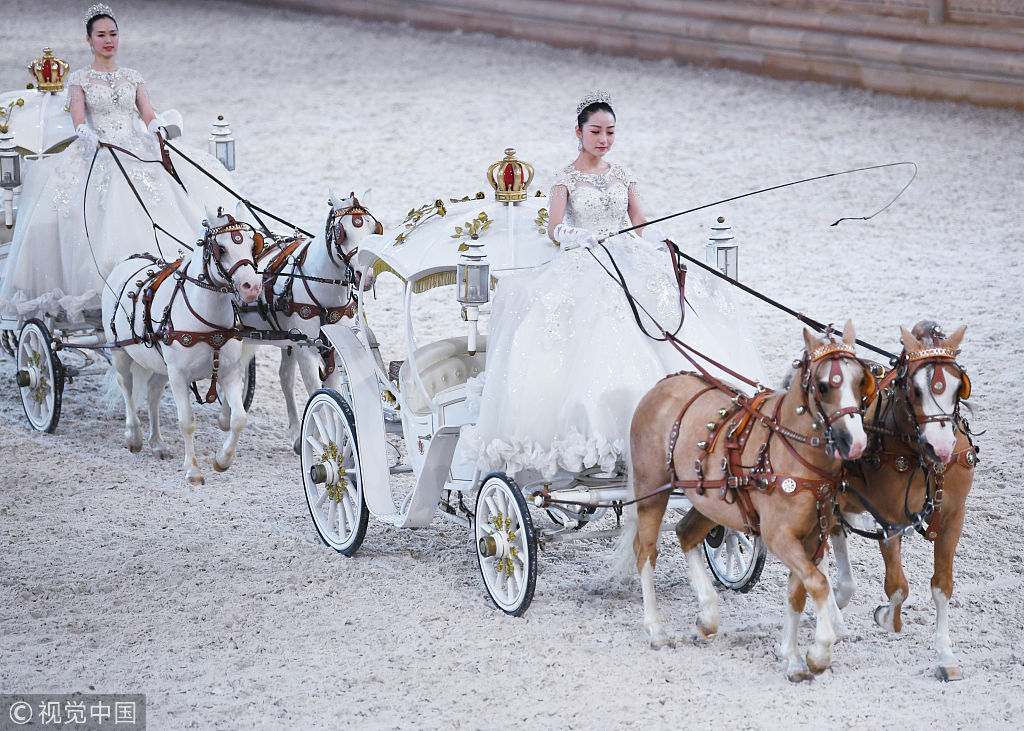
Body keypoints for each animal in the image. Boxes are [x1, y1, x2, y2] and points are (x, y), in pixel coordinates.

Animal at [101, 201, 264, 483]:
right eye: (221, 248)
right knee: (126, 385)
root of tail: (126, 261)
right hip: (121, 352)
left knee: (153, 394)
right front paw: (193, 470)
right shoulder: (178, 375)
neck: (209, 324)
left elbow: (239, 419)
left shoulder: (229, 373)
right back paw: (134, 436)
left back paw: (157, 443)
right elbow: (186, 422)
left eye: (252, 246)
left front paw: (222, 460)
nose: (252, 286)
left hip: (160, 365)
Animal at [239, 188, 380, 450]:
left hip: (288, 341)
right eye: (342, 232)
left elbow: (330, 388)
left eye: (372, 229)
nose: (364, 277)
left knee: (284, 377)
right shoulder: (306, 349)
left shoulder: (331, 349)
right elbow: (316, 390)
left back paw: (296, 434)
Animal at [622, 321, 872, 679]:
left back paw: (708, 616)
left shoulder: (812, 535)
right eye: (824, 386)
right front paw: (820, 651)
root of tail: (663, 383)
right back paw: (655, 629)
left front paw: (793, 658)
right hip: (651, 491)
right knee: (645, 551)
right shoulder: (778, 536)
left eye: (860, 380)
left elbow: (799, 591)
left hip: (711, 503)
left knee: (686, 534)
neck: (787, 449)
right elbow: (818, 583)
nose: (857, 442)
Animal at [831, 321, 974, 679]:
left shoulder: (953, 515)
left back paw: (839, 597)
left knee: (835, 537)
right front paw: (887, 617)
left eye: (958, 386)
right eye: (915, 389)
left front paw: (945, 656)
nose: (941, 447)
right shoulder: (889, 520)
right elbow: (897, 586)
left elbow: (942, 586)